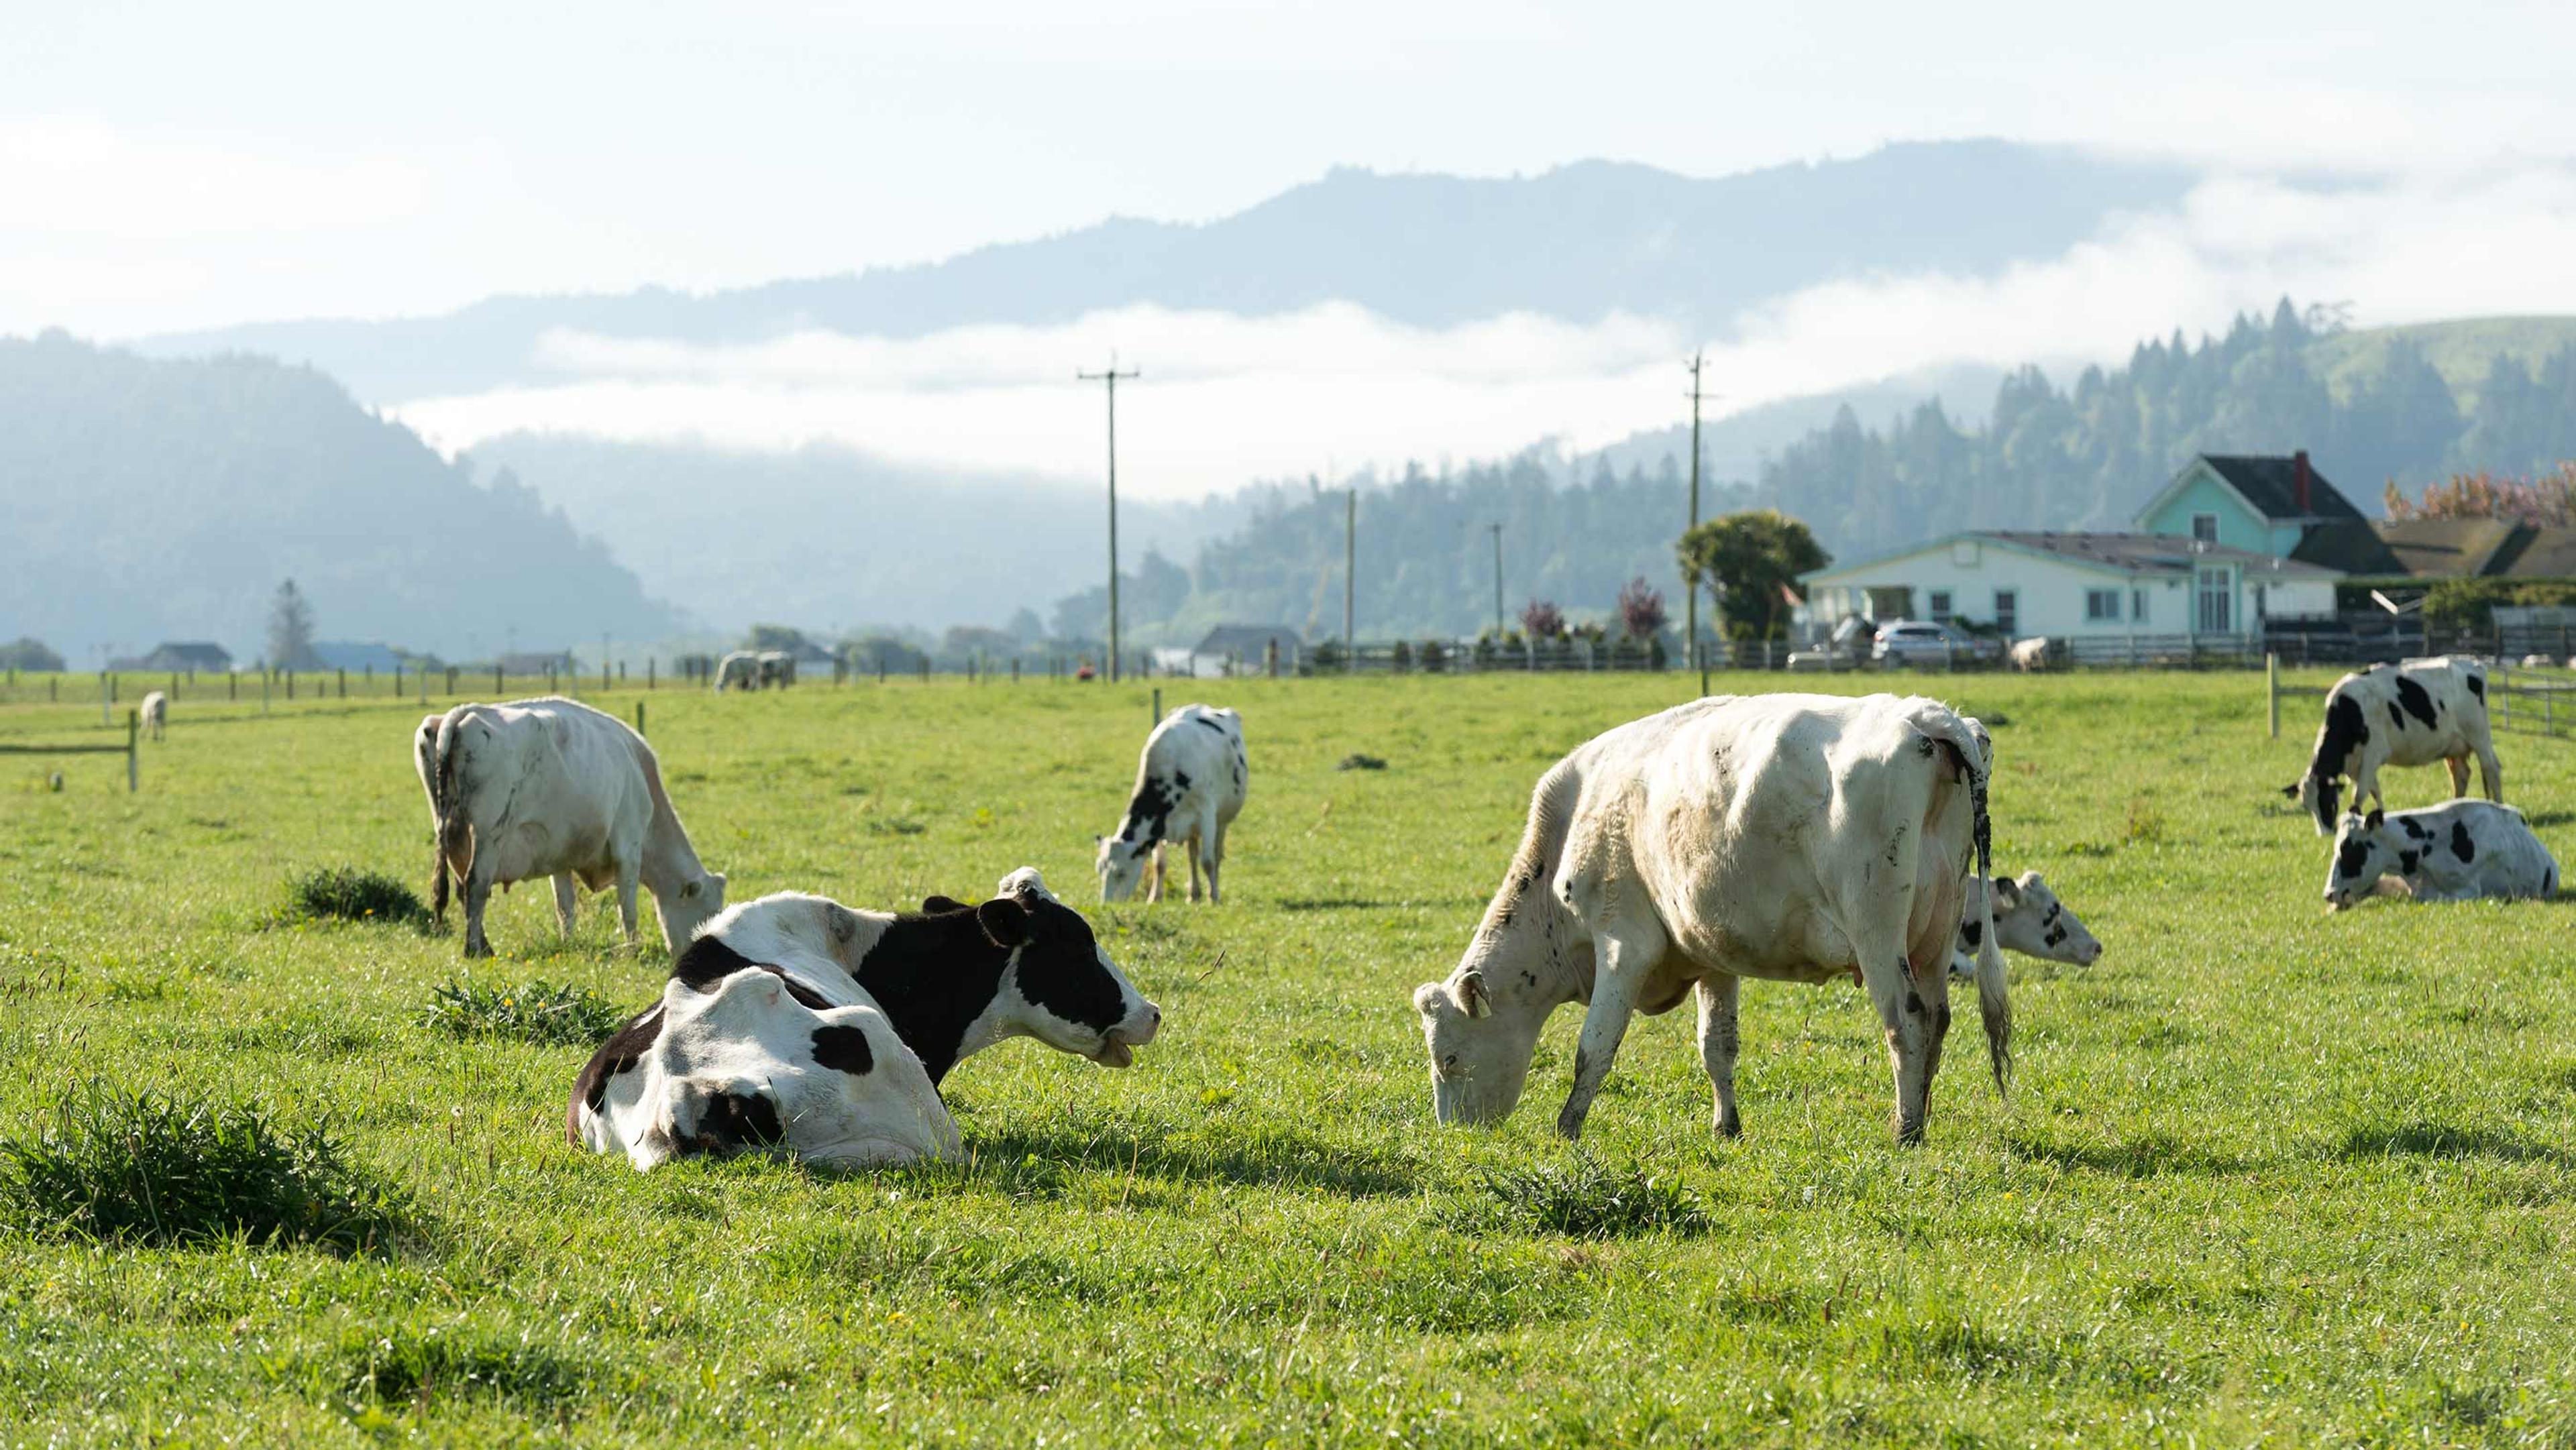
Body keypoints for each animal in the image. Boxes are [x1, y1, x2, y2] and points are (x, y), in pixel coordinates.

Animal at [415, 695, 726, 958]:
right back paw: (475, 950)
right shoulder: (629, 849)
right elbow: (627, 906)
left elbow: (565, 906)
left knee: (461, 890)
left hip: (454, 834)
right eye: (707, 917)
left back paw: (486, 947)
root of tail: (465, 711)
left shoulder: (560, 855)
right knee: (475, 886)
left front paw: (569, 943)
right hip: (489, 835)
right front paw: (631, 950)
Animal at [1092, 706, 1241, 906]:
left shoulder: (1207, 813)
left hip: (1223, 818)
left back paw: (1211, 889)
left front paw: (1214, 897)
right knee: (1192, 854)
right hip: (1192, 829)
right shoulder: (1160, 825)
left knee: (1216, 855)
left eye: (1122, 872)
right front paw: (1154, 897)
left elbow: (1208, 861)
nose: (1106, 905)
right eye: (1100, 870)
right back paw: (1193, 894)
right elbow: (1159, 864)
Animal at [2287, 659, 2504, 839]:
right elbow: (2375, 791)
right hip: (2454, 748)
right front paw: (2380, 817)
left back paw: (2501, 805)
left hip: (2480, 736)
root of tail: (2473, 663)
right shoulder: (2355, 765)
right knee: (2461, 775)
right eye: (2306, 806)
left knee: (2492, 769)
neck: (2351, 710)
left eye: (2327, 801)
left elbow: (2359, 794)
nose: (2324, 835)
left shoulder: (2373, 754)